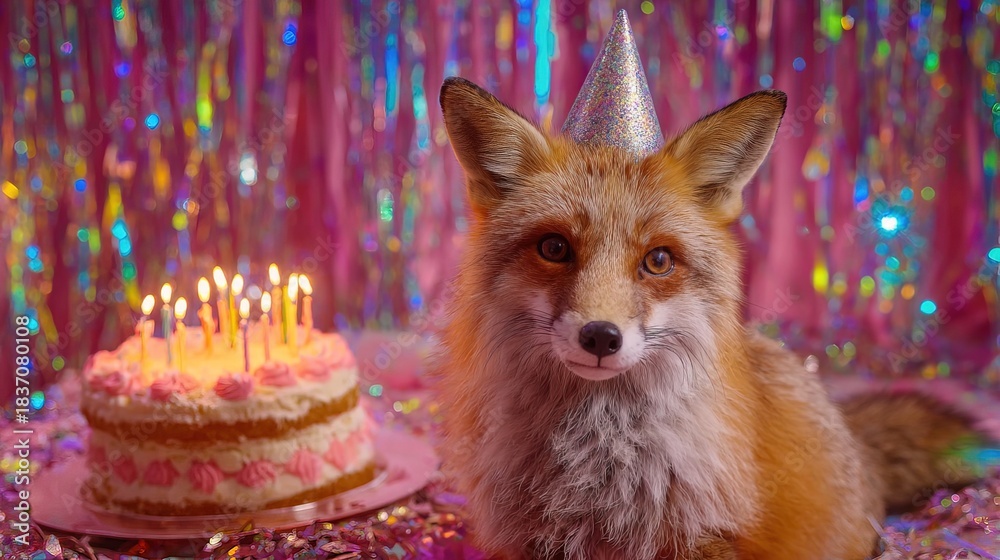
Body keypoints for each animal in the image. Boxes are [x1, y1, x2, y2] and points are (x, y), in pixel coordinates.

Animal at [431, 76, 996, 560]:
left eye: (658, 260)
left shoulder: (707, 536)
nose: (601, 337)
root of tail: (854, 438)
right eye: (554, 247)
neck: (599, 462)